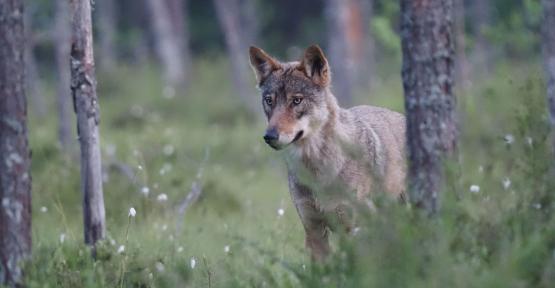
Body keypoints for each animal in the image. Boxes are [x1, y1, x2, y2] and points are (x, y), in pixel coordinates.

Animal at [250, 45, 406, 260]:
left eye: (296, 100)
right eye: (269, 101)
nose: (269, 136)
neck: (317, 171)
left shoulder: (352, 228)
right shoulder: (314, 231)